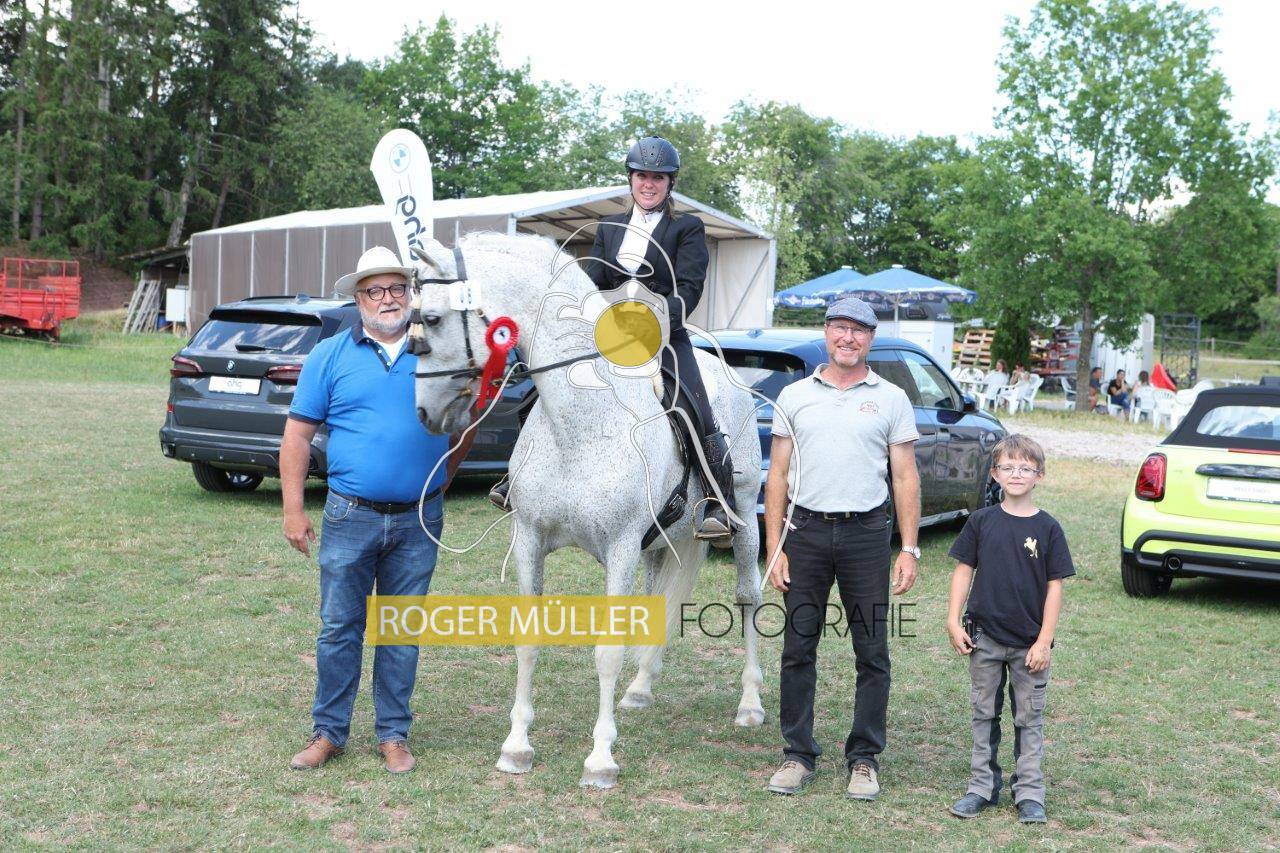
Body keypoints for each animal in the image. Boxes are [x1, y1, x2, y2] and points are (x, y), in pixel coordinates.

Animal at [410, 232, 765, 789]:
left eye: (434, 318)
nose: (425, 412)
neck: (579, 420)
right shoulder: (530, 538)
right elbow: (528, 642)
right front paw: (516, 747)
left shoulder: (620, 548)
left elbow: (607, 651)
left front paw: (600, 760)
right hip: (659, 540)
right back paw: (639, 691)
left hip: (743, 517)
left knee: (748, 598)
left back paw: (750, 704)